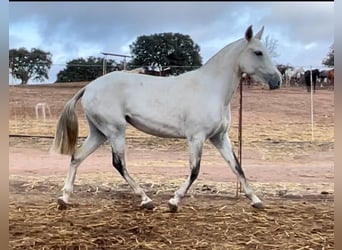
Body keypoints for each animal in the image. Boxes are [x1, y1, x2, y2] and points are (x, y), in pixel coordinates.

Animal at [50, 25, 280, 213]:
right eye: (258, 52)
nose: (277, 81)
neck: (211, 89)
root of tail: (89, 86)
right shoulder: (196, 137)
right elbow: (195, 171)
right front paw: (174, 202)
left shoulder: (220, 137)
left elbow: (237, 167)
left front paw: (256, 200)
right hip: (115, 131)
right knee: (118, 164)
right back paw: (146, 200)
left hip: (99, 133)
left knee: (77, 157)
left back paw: (65, 198)